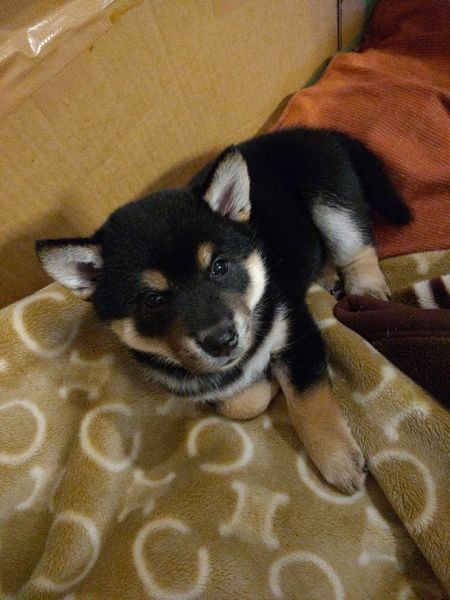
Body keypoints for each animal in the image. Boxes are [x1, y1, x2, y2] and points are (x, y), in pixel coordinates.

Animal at [36, 127, 411, 494]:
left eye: (219, 267)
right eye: (153, 300)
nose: (221, 341)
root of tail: (318, 130)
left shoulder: (296, 330)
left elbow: (310, 403)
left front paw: (338, 460)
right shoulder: (191, 385)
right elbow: (239, 404)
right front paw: (266, 384)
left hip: (330, 198)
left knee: (356, 247)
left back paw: (366, 288)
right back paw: (326, 274)